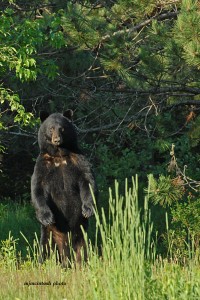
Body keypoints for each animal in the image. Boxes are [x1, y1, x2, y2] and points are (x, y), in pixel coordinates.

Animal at [30, 110, 97, 264]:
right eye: (51, 128)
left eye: (62, 128)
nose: (57, 139)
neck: (59, 155)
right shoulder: (42, 165)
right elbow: (37, 188)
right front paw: (46, 216)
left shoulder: (79, 160)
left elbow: (88, 181)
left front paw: (88, 209)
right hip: (50, 233)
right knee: (46, 247)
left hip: (80, 230)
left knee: (81, 247)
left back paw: (81, 262)